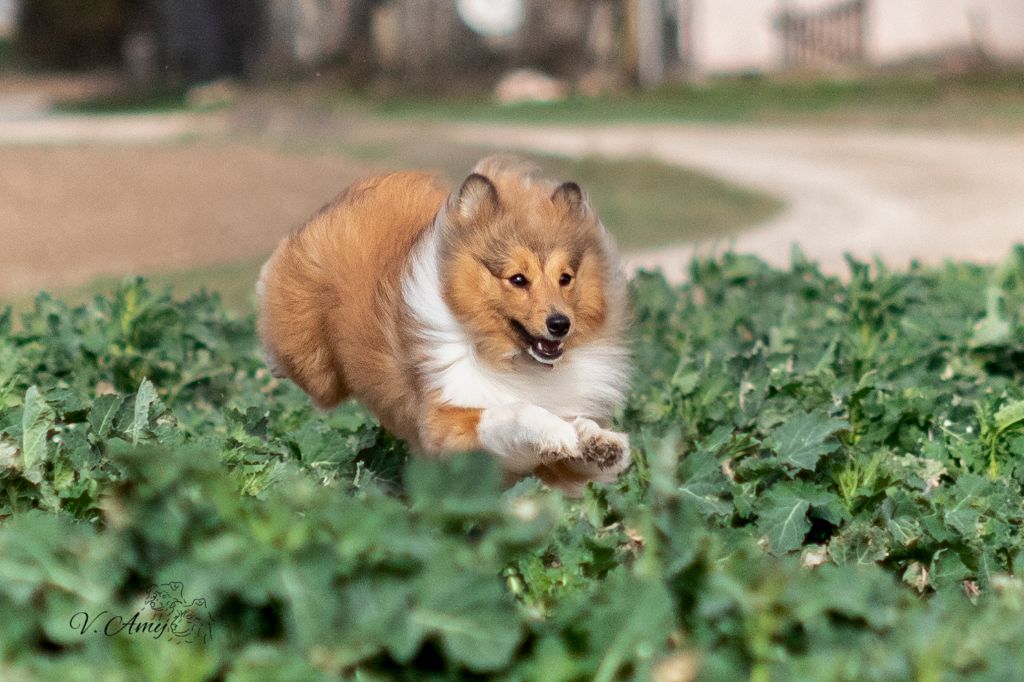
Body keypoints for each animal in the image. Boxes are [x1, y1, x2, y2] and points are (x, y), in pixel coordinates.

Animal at [258, 155, 630, 491]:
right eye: (518, 279)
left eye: (565, 278)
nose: (560, 324)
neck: (515, 362)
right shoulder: (447, 424)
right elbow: (517, 410)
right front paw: (555, 431)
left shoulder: (552, 467)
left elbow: (578, 434)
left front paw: (601, 442)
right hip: (315, 368)